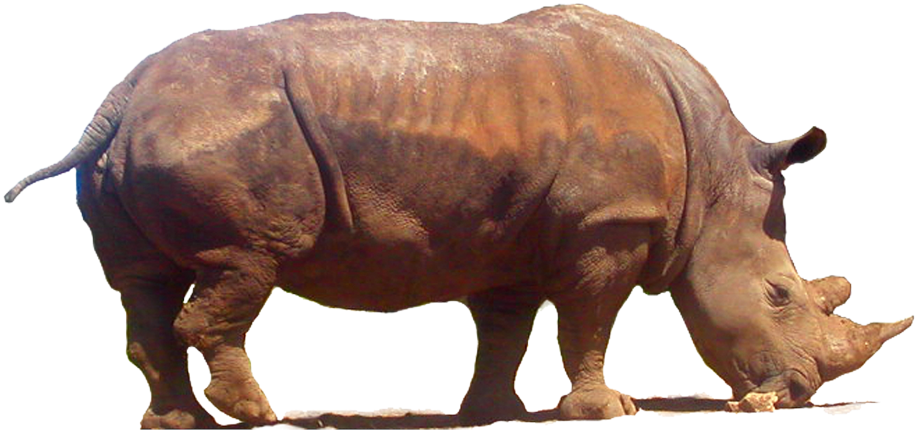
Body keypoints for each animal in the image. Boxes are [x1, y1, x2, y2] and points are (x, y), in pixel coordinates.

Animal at [4, 4, 912, 428]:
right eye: (781, 298)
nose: (797, 396)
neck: (715, 175)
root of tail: (116, 103)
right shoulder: (609, 227)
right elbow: (589, 322)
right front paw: (606, 411)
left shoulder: (508, 243)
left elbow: (505, 329)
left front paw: (491, 415)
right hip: (223, 133)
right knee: (242, 264)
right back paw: (262, 419)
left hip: (162, 134)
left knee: (144, 284)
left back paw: (180, 423)